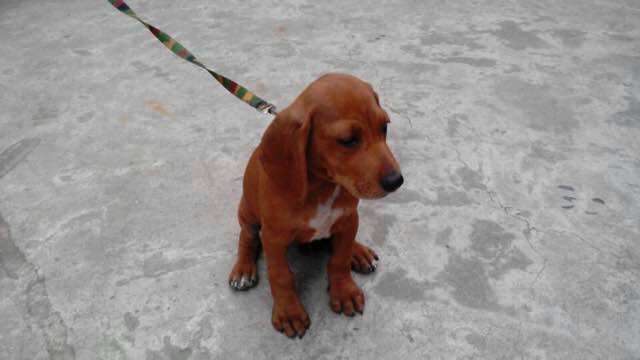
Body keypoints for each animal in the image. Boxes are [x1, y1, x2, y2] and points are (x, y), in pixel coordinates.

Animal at [228, 73, 402, 338]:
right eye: (348, 140)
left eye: (385, 127)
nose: (396, 181)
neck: (323, 188)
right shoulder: (273, 237)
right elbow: (280, 275)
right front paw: (289, 312)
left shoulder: (348, 219)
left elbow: (339, 259)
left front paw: (344, 291)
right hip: (248, 211)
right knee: (247, 237)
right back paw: (244, 269)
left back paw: (358, 252)